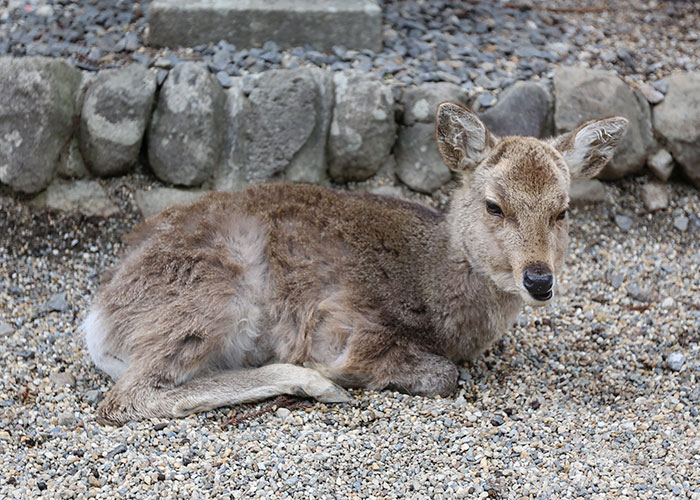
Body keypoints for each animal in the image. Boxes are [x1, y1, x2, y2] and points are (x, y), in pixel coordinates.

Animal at [83, 102, 628, 426]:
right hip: (211, 297)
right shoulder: (344, 324)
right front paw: (340, 374)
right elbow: (444, 375)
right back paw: (317, 384)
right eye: (495, 205)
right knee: (127, 398)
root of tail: (98, 321)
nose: (539, 279)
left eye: (563, 210)